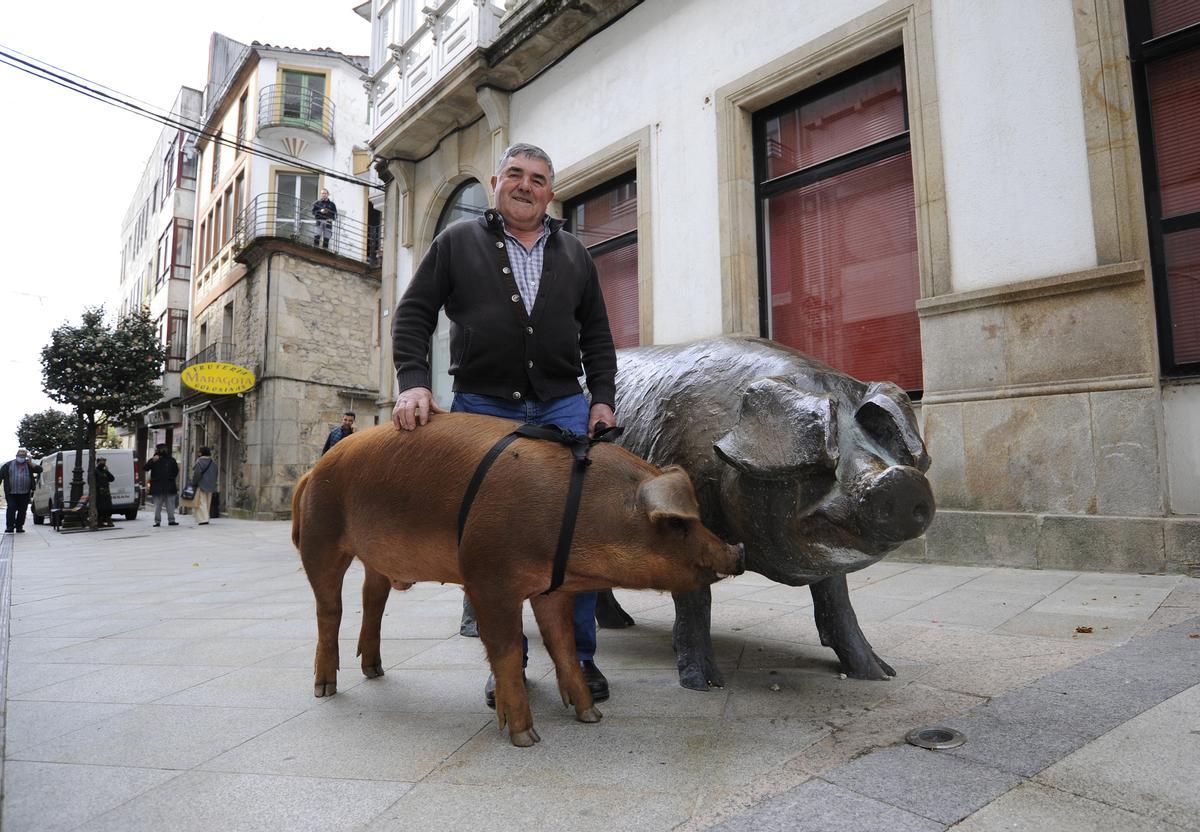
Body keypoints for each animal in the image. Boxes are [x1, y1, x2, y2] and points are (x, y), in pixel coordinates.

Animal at [292, 415, 739, 744]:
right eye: (678, 523)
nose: (736, 550)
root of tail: (314, 471)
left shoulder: (551, 588)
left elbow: (564, 645)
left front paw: (591, 715)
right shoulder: (488, 579)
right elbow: (506, 651)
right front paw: (526, 736)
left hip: (376, 560)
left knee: (373, 599)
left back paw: (375, 671)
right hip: (321, 538)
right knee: (329, 610)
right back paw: (325, 689)